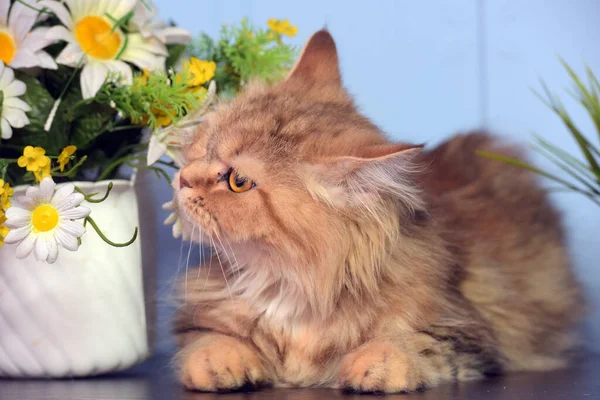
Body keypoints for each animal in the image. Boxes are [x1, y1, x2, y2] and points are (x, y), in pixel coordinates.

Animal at [171, 29, 584, 392]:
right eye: (206, 141)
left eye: (239, 181)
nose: (182, 179)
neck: (293, 285)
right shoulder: (199, 321)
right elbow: (210, 340)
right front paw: (220, 365)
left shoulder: (469, 334)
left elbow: (411, 345)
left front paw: (372, 366)